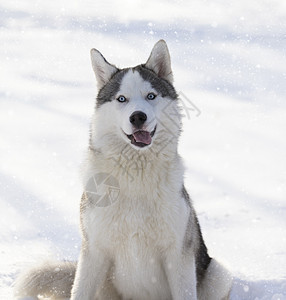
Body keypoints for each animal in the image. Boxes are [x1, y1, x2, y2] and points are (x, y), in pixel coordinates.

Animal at [15, 40, 232, 300]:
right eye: (121, 99)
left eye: (151, 96)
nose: (138, 117)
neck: (135, 175)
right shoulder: (93, 251)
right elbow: (80, 291)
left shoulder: (177, 255)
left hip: (220, 274)